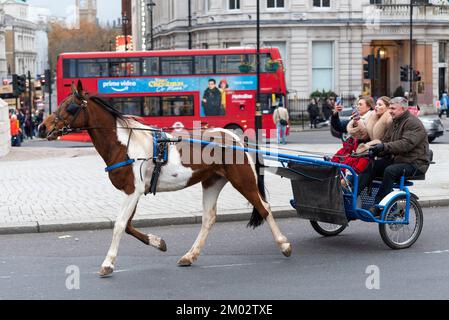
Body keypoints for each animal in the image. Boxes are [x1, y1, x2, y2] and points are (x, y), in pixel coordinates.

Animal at [38, 80, 290, 278]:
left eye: (70, 107)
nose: (41, 127)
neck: (124, 143)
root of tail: (234, 137)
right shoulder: (135, 191)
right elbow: (128, 225)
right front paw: (158, 242)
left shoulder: (132, 191)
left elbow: (119, 225)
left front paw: (108, 263)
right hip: (212, 182)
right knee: (208, 218)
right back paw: (190, 255)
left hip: (243, 180)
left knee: (264, 207)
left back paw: (284, 244)